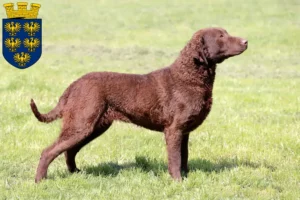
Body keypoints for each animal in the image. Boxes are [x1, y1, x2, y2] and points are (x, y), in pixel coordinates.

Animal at [30, 27, 247, 182]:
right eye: (221, 36)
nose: (246, 41)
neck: (189, 77)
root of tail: (74, 84)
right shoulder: (174, 129)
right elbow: (175, 159)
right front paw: (177, 182)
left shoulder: (184, 131)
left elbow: (184, 156)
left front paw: (186, 178)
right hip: (81, 124)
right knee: (49, 151)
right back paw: (40, 180)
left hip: (93, 126)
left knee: (69, 151)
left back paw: (77, 173)